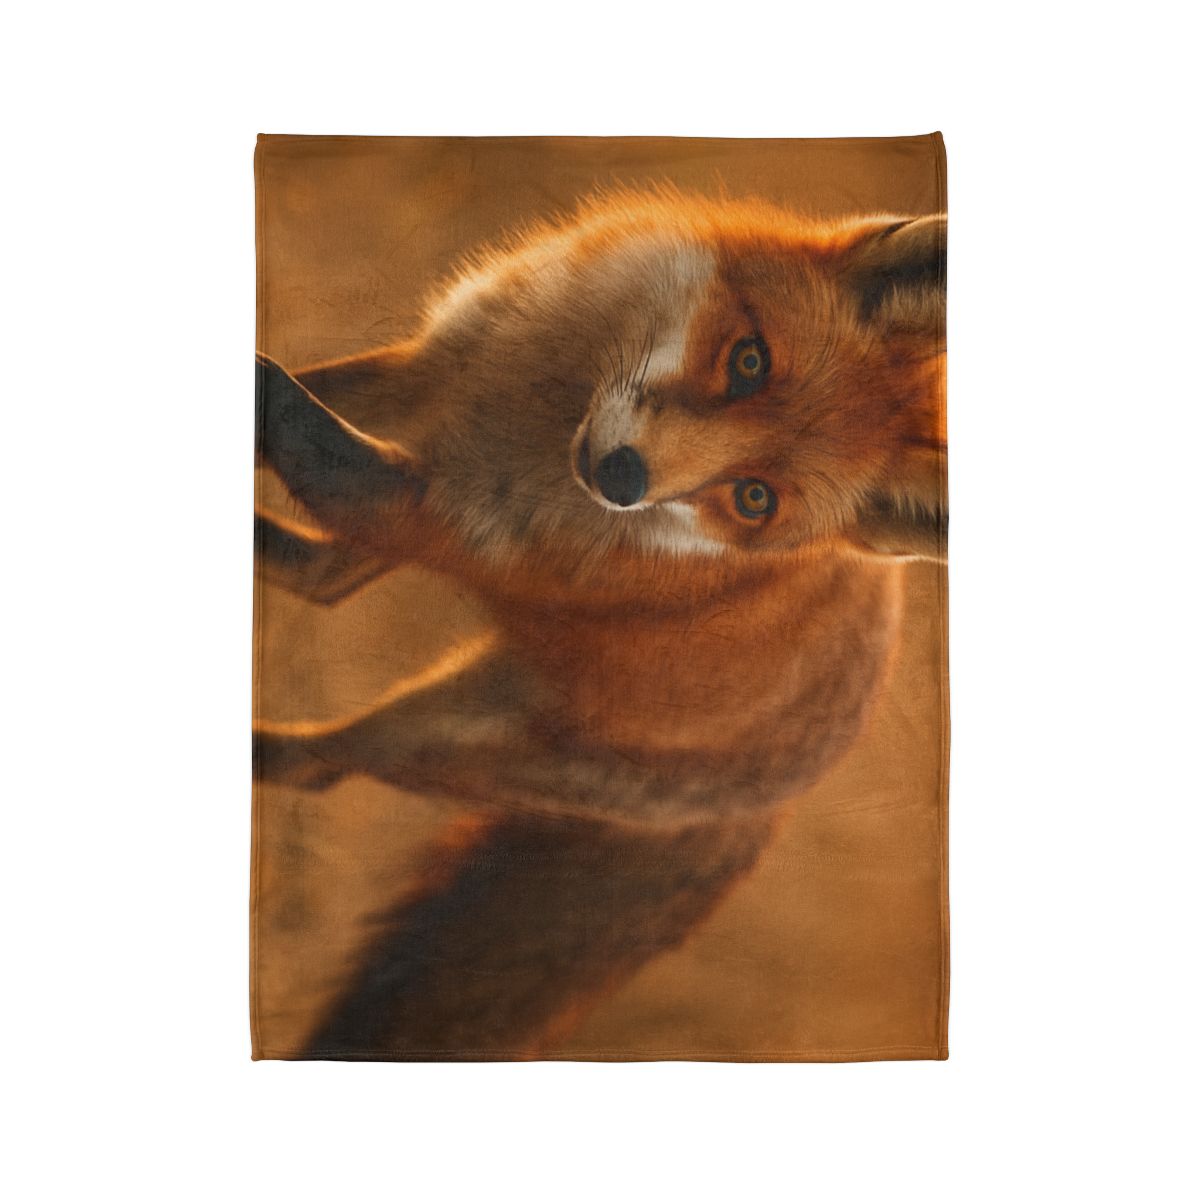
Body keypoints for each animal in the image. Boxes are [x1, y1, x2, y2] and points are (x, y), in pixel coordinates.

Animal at [253, 190, 946, 1059]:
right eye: (750, 362)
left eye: (754, 498)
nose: (622, 479)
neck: (541, 407)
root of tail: (784, 799)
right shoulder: (424, 379)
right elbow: (304, 389)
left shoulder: (419, 511)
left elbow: (297, 423)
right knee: (328, 580)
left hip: (444, 730)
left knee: (320, 760)